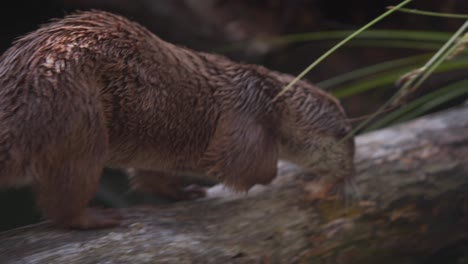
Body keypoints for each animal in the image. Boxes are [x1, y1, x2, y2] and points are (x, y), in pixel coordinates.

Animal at [0, 10, 352, 229]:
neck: (271, 96)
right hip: (77, 118)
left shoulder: (154, 151)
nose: (348, 174)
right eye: (347, 138)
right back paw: (97, 218)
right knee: (65, 198)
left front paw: (184, 191)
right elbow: (246, 168)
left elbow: (150, 177)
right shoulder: (249, 113)